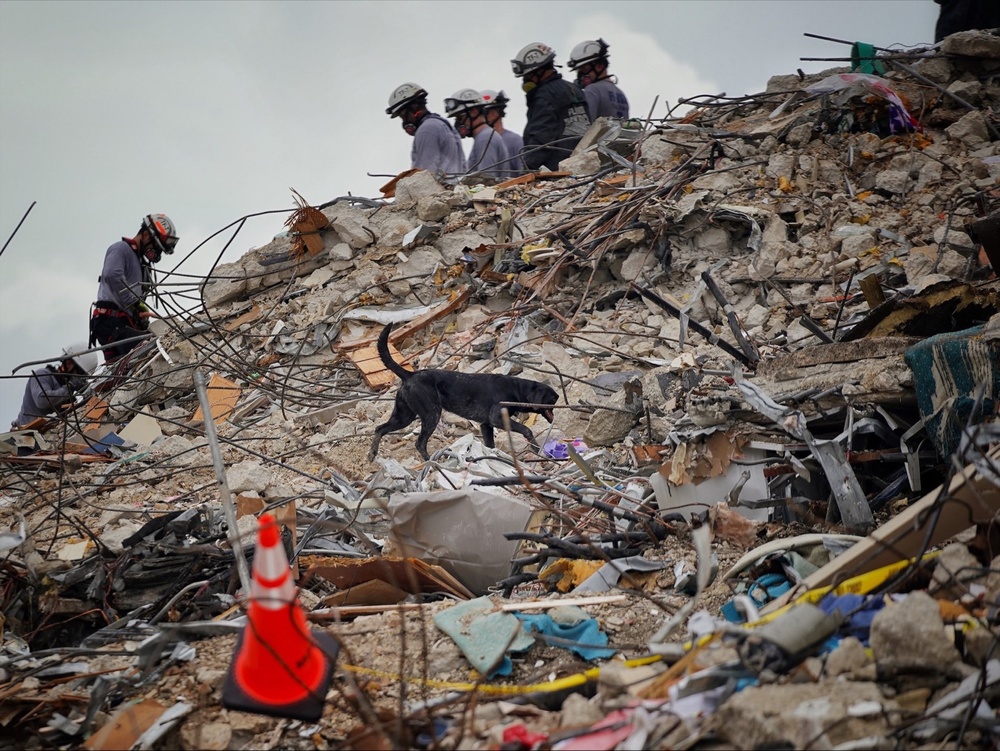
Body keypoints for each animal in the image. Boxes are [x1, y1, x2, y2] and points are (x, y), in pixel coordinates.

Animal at [368, 324, 560, 462]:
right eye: (552, 400)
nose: (558, 403)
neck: (516, 389)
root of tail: (410, 374)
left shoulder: (486, 425)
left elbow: (490, 444)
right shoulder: (497, 419)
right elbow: (527, 430)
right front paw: (535, 448)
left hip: (404, 416)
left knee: (379, 429)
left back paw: (372, 453)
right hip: (431, 415)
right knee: (420, 443)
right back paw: (430, 461)